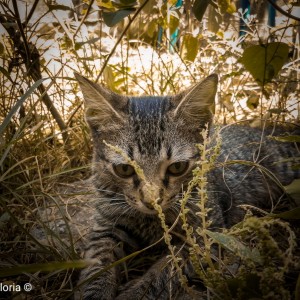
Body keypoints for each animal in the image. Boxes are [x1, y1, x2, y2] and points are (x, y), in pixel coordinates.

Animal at [75, 73, 300, 300]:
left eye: (177, 167)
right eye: (124, 169)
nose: (152, 201)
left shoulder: (206, 233)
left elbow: (167, 269)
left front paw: (135, 292)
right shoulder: (106, 226)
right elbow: (97, 264)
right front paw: (94, 292)